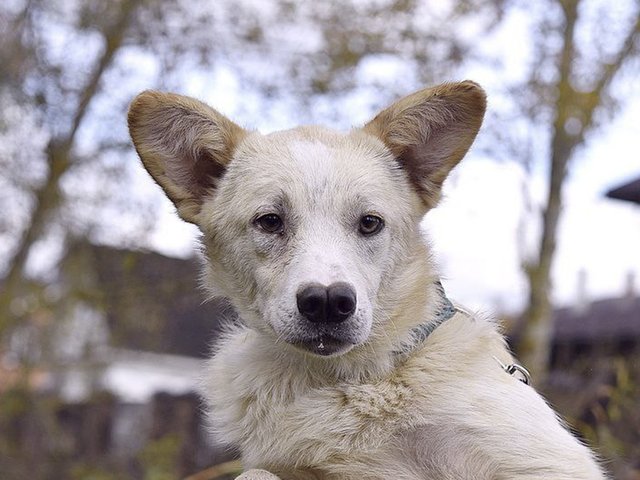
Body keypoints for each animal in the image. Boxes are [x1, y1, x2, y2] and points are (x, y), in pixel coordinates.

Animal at [127, 80, 604, 478]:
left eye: (370, 223)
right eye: (269, 221)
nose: (326, 302)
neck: (354, 380)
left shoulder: (542, 462)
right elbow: (255, 473)